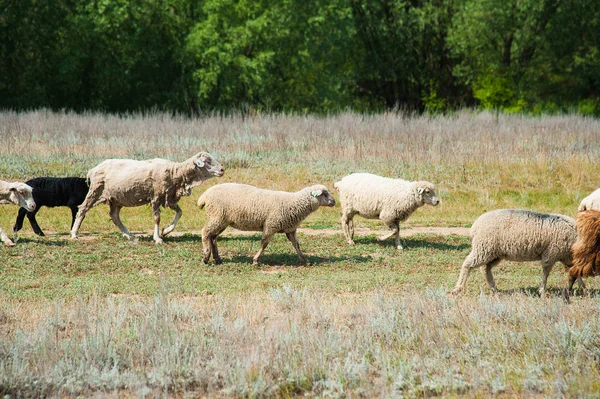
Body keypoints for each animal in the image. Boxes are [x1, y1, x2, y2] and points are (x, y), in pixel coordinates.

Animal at [71, 152, 225, 244]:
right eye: (207, 161)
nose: (222, 169)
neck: (175, 172)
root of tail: (93, 170)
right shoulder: (156, 196)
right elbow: (157, 218)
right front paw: (157, 238)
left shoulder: (168, 197)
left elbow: (180, 213)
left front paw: (166, 231)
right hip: (96, 190)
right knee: (82, 209)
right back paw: (74, 234)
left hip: (117, 197)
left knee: (114, 216)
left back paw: (129, 235)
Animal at [198, 184, 336, 266]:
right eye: (324, 193)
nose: (334, 202)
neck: (294, 203)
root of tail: (204, 196)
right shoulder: (270, 225)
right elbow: (264, 244)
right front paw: (255, 260)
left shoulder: (290, 229)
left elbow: (296, 245)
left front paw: (305, 260)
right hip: (217, 217)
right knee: (205, 232)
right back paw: (205, 257)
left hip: (221, 220)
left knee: (212, 237)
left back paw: (216, 258)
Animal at [452, 209, 584, 296]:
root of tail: (475, 226)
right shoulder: (551, 254)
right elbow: (546, 273)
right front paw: (542, 290)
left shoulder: (566, 257)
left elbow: (575, 272)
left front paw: (582, 288)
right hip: (483, 248)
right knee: (467, 264)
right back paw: (457, 288)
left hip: (494, 253)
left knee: (485, 268)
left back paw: (494, 289)